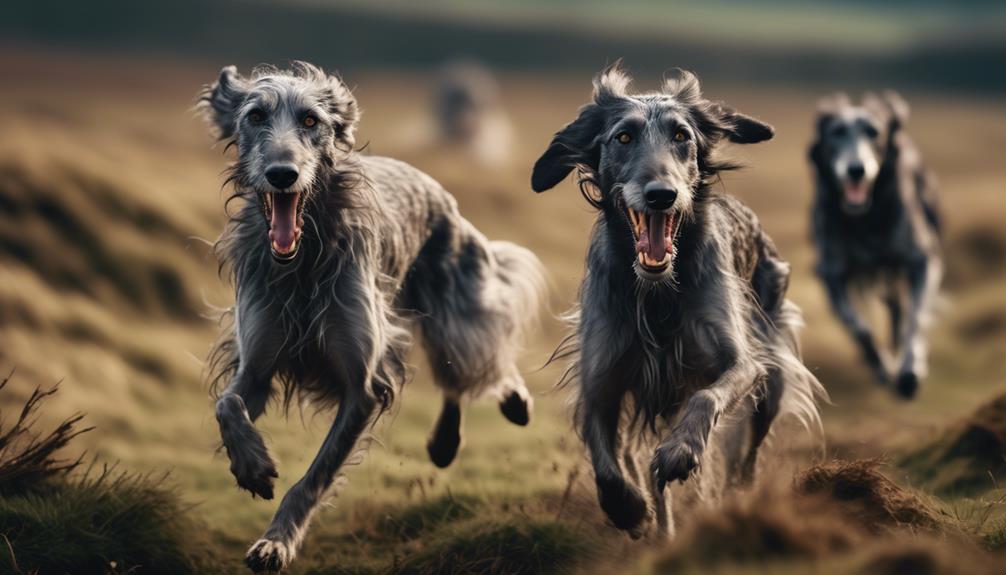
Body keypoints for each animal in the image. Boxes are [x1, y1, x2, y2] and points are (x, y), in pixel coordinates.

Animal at [200, 62, 547, 570]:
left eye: (310, 120)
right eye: (255, 115)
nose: (282, 174)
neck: (306, 258)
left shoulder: (362, 385)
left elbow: (312, 479)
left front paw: (277, 542)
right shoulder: (259, 365)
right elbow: (228, 405)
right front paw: (253, 465)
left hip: (453, 310)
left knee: (474, 360)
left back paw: (510, 403)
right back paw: (445, 443)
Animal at [531, 65, 820, 538]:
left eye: (682, 135)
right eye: (623, 137)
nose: (661, 194)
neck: (656, 293)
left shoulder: (741, 362)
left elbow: (707, 397)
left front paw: (680, 451)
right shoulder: (601, 381)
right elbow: (604, 458)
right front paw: (628, 508)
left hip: (773, 374)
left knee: (747, 457)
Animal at [808, 92, 941, 400]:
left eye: (874, 132)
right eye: (837, 132)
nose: (856, 170)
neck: (865, 220)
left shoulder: (921, 259)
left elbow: (917, 316)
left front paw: (910, 370)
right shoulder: (832, 273)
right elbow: (860, 328)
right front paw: (883, 368)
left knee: (899, 308)